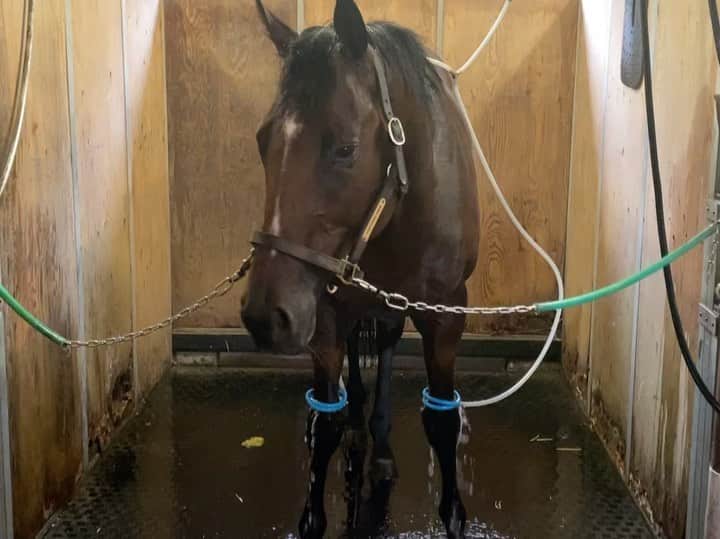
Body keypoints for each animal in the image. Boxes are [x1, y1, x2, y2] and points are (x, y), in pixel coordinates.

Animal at [241, 1, 479, 537]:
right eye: (264, 140)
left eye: (345, 148)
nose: (266, 316)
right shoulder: (326, 312)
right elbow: (322, 423)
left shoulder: (446, 313)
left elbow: (443, 421)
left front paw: (454, 515)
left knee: (386, 346)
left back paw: (381, 446)